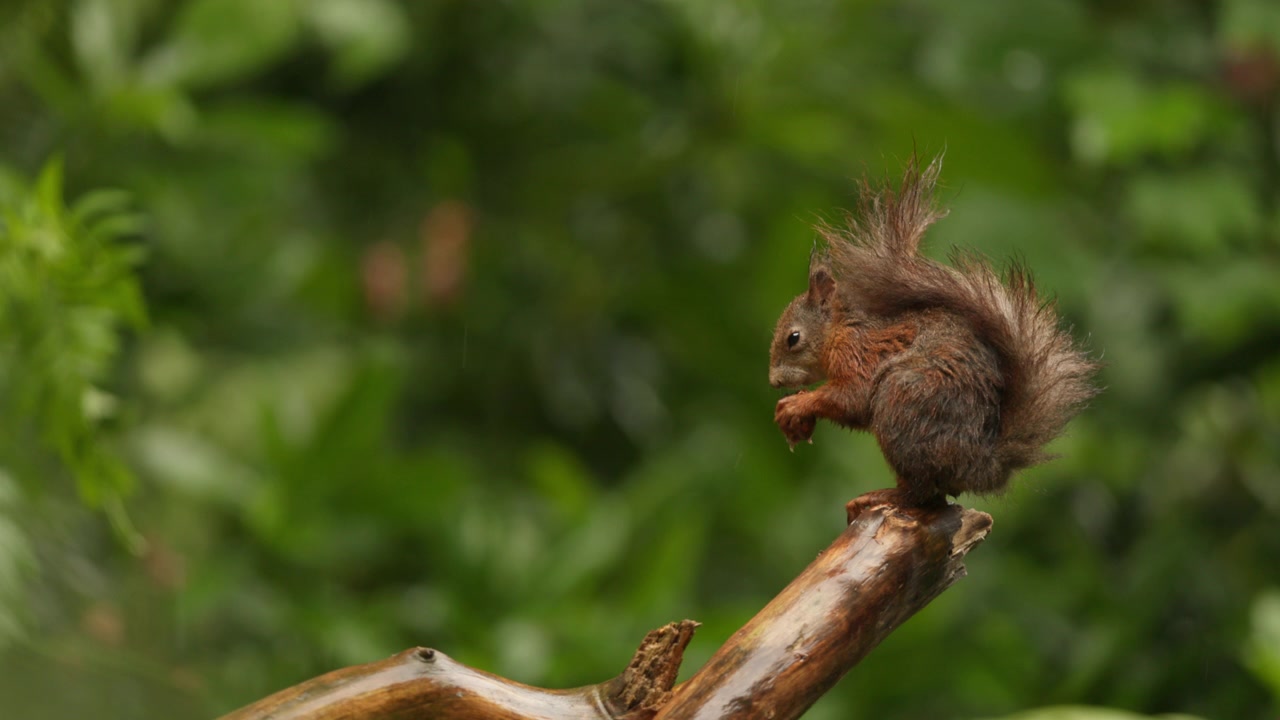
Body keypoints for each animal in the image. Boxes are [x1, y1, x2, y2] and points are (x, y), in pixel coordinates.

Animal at [769, 154, 1098, 514]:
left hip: (903, 404)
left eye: (793, 338)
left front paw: (797, 404)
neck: (840, 331)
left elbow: (851, 398)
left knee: (923, 493)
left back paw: (884, 496)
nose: (773, 381)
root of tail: (979, 466)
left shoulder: (858, 355)